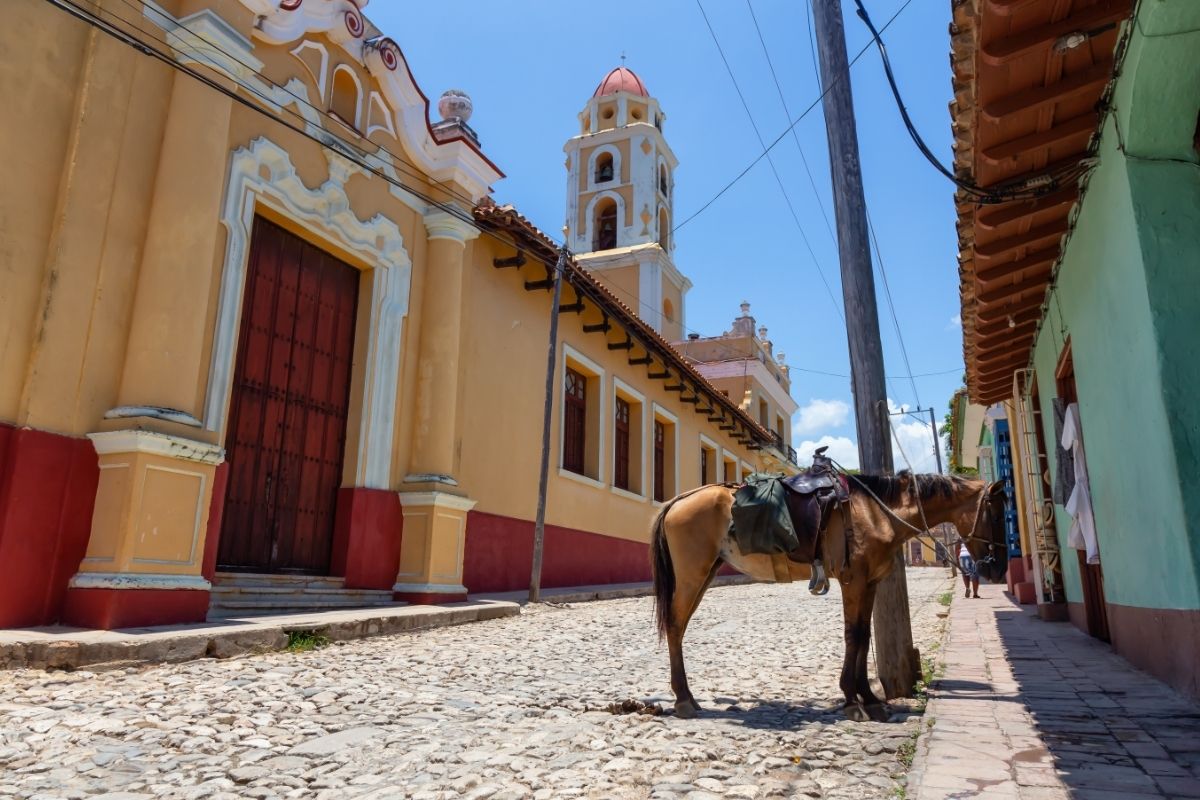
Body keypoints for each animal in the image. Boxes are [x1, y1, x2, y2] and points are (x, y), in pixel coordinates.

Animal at [648, 472, 1003, 724]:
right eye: (996, 512)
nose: (996, 569)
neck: (877, 512)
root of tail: (678, 500)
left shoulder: (870, 583)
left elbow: (863, 636)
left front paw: (869, 699)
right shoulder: (853, 581)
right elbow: (853, 635)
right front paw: (852, 701)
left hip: (705, 574)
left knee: (679, 627)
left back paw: (688, 697)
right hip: (692, 575)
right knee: (675, 626)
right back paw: (683, 699)